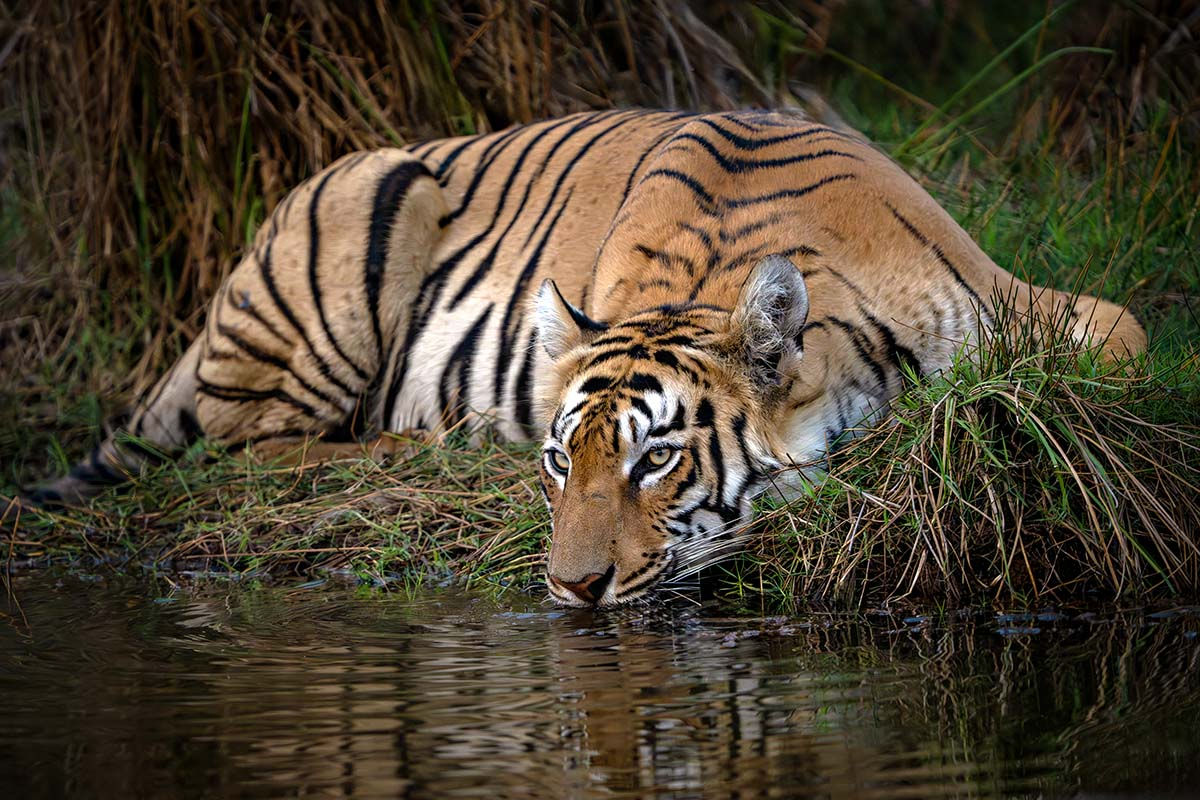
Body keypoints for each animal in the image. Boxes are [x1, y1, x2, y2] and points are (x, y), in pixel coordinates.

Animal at [32, 109, 1147, 606]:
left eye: (657, 459)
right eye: (562, 460)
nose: (572, 591)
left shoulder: (1017, 298)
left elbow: (1131, 342)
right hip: (367, 213)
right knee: (248, 447)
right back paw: (423, 446)